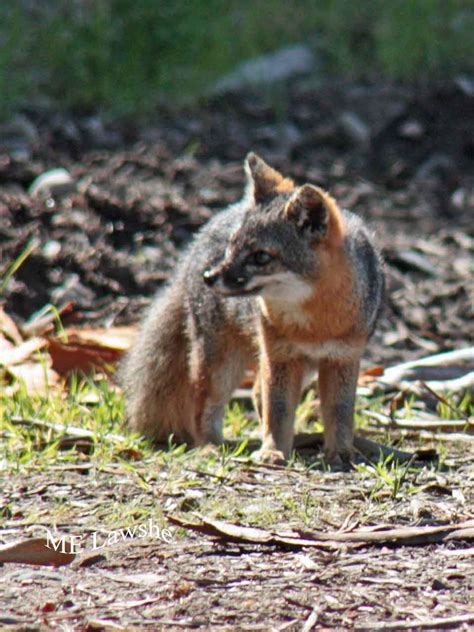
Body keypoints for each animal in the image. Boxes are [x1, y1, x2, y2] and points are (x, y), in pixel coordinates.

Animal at [120, 151, 384, 462]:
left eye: (260, 256)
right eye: (232, 247)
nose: (209, 277)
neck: (314, 324)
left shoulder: (342, 358)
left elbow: (340, 413)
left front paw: (341, 452)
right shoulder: (278, 355)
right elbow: (277, 411)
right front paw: (272, 451)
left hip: (299, 365)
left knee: (257, 392)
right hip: (221, 365)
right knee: (206, 406)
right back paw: (210, 445)